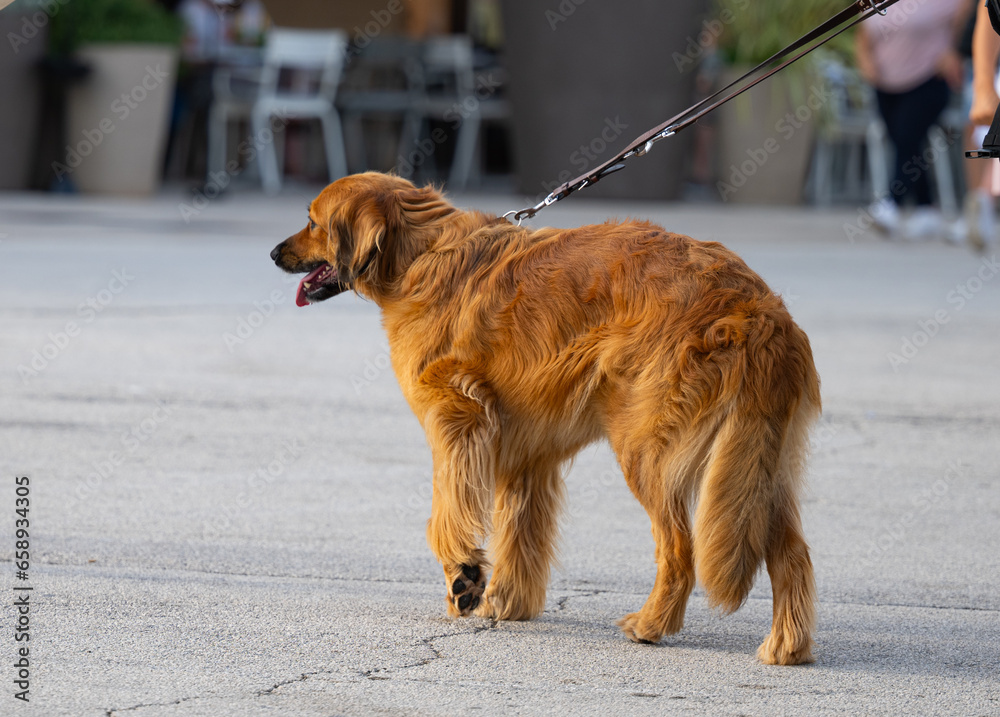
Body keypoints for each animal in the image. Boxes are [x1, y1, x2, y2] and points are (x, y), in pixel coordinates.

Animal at [272, 173, 820, 664]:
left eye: (313, 222)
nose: (274, 254)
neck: (418, 253)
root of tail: (759, 310)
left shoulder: (457, 425)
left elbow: (448, 512)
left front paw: (464, 576)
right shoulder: (525, 456)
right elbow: (520, 533)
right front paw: (506, 602)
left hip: (651, 453)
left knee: (679, 551)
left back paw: (651, 625)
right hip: (752, 467)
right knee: (792, 552)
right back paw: (786, 647)